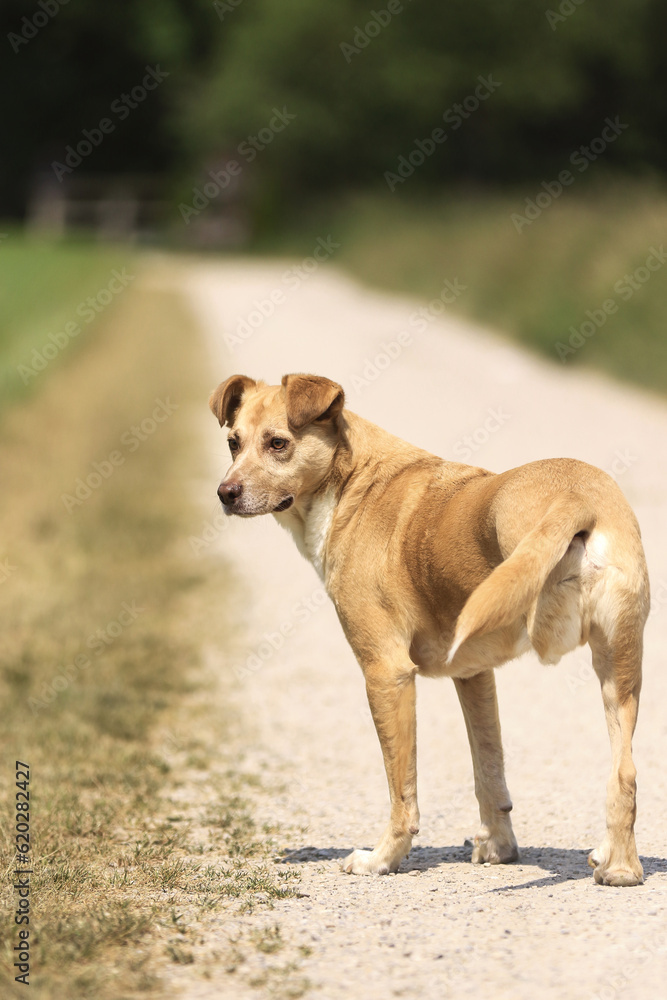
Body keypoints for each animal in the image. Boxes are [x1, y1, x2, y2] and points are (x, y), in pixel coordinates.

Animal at [211, 374, 648, 884]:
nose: (225, 493)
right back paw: (620, 867)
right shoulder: (474, 675)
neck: (351, 479)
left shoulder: (387, 673)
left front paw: (383, 859)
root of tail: (573, 496)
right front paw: (498, 848)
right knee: (624, 774)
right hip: (619, 675)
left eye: (278, 443)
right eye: (233, 442)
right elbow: (489, 771)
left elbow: (403, 792)